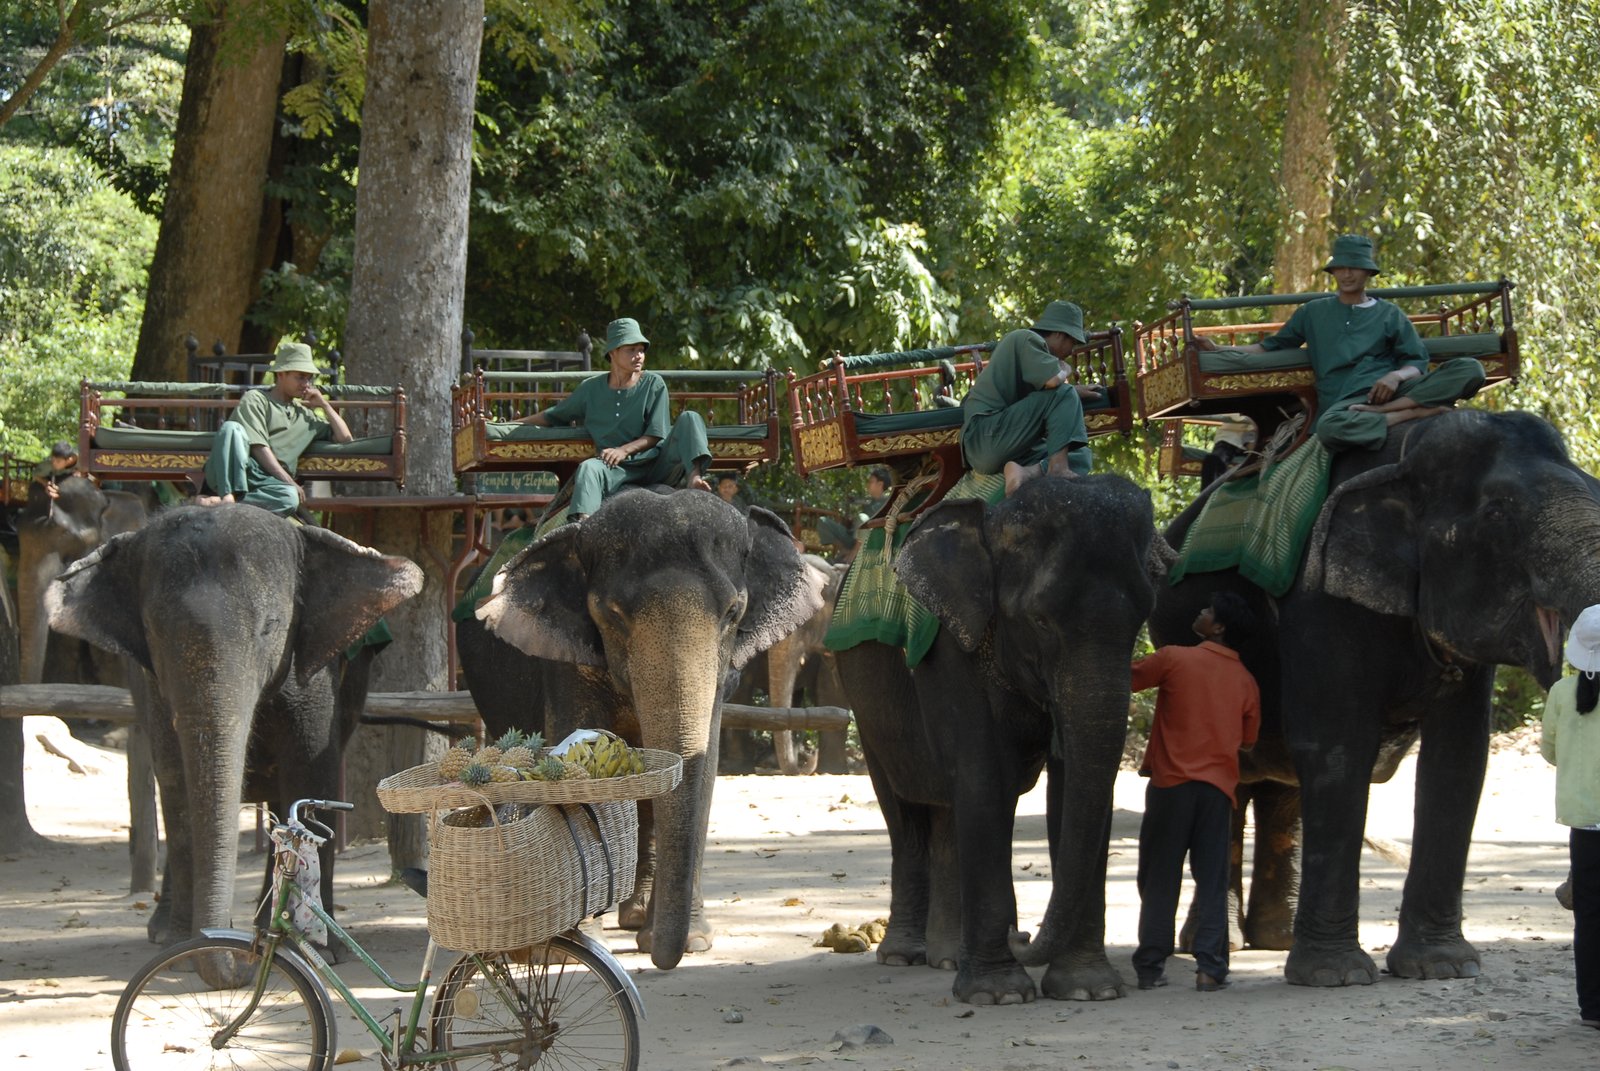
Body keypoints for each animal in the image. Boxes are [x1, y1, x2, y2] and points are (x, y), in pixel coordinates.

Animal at [45, 504, 423, 947]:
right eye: (154, 633)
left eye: (271, 627)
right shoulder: (152, 686)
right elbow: (175, 780)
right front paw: (183, 944)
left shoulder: (315, 674)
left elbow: (311, 769)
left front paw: (316, 948)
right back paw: (164, 931)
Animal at [474, 487, 824, 969]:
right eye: (612, 614)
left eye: (734, 613)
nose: (662, 959)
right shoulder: (564, 662)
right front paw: (571, 942)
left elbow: (705, 769)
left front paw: (695, 942)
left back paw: (637, 917)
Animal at [836, 473, 1158, 1005]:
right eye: (1040, 620)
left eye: (1141, 619)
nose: (1021, 932)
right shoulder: (950, 644)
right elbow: (983, 778)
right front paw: (1000, 995)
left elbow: (1073, 788)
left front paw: (1089, 991)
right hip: (861, 697)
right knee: (904, 809)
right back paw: (904, 955)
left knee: (946, 810)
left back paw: (947, 957)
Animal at [1151, 409, 1600, 986]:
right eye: (1498, 513)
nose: (1564, 894)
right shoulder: (1318, 592)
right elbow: (1338, 746)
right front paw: (1336, 977)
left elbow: (1458, 756)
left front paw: (1442, 967)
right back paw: (1223, 944)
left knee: (1280, 782)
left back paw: (1273, 939)